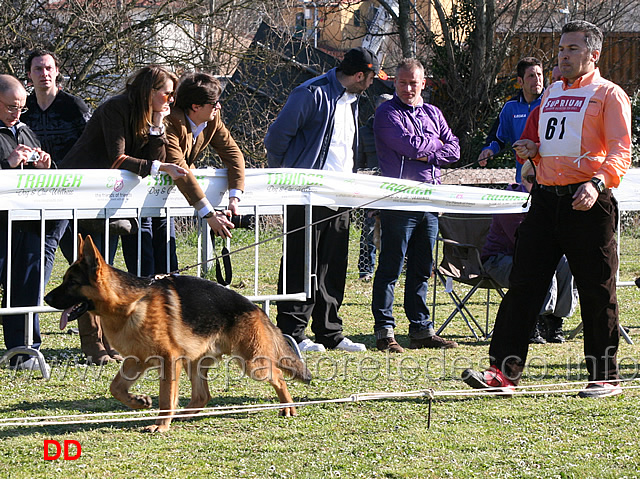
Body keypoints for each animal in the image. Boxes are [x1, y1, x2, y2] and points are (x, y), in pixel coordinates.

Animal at [45, 234, 310, 434]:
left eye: (72, 282)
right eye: (65, 280)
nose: (46, 298)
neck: (128, 303)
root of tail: (254, 307)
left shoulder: (168, 360)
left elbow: (165, 397)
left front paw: (161, 425)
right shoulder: (135, 361)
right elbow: (116, 388)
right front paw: (139, 401)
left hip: (253, 364)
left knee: (278, 376)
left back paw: (288, 407)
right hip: (194, 362)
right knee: (203, 395)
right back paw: (183, 415)